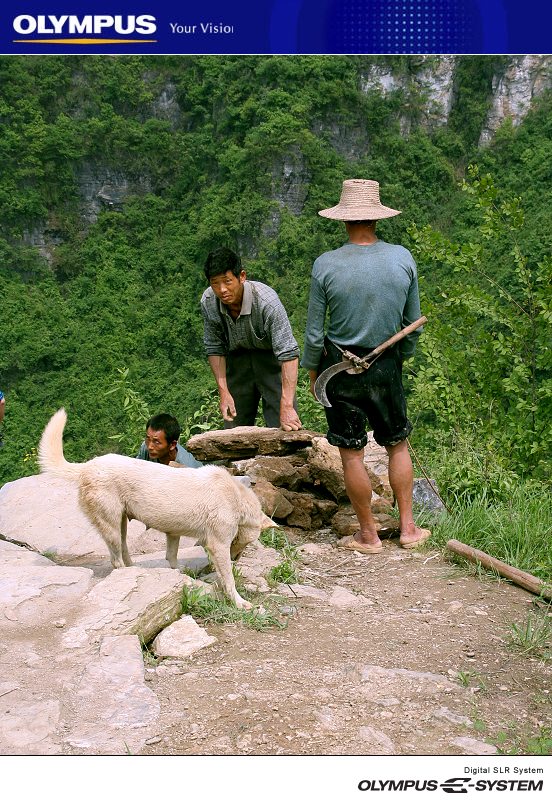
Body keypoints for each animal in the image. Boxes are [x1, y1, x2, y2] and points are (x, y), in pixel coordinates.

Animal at [37, 408, 274, 608]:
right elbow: (228, 578)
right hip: (110, 525)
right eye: (248, 543)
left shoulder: (173, 534)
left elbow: (172, 558)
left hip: (120, 523)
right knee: (115, 559)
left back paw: (136, 570)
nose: (237, 558)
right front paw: (239, 602)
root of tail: (88, 465)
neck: (236, 499)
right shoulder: (218, 545)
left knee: (124, 550)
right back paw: (126, 574)